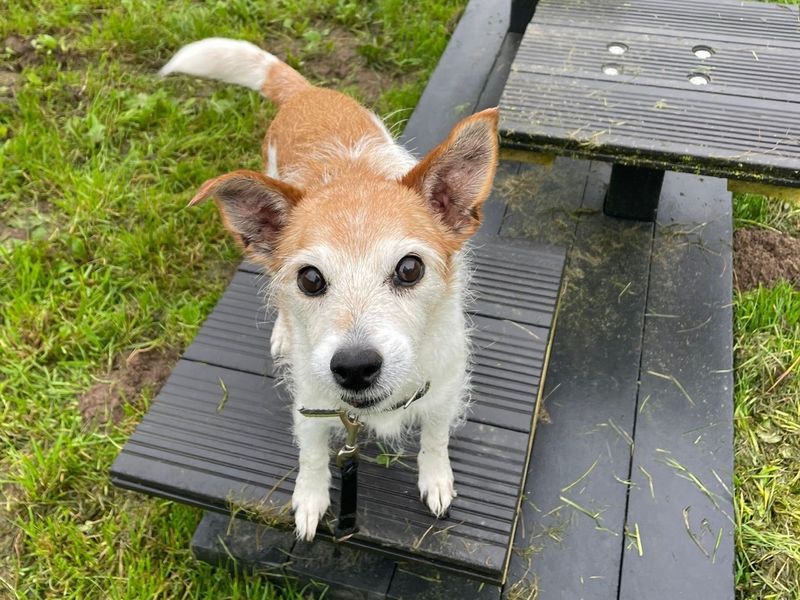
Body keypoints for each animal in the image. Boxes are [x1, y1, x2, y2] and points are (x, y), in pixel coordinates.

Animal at [161, 39, 500, 540]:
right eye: (310, 278)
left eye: (410, 269)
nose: (355, 367)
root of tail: (308, 93)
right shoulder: (312, 405)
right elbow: (312, 453)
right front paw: (310, 497)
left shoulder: (444, 391)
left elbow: (435, 439)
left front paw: (436, 478)